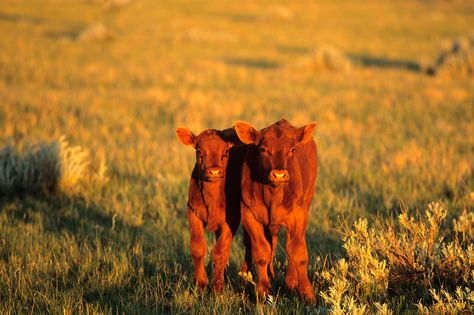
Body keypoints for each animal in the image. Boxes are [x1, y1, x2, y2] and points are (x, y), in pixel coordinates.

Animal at [177, 127, 252, 292]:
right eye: (199, 151)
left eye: (226, 151)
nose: (215, 171)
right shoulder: (192, 211)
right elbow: (198, 247)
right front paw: (202, 284)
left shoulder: (232, 217)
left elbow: (219, 251)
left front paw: (218, 287)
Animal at [234, 119, 318, 304]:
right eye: (263, 149)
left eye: (292, 149)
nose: (279, 175)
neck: (273, 194)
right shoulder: (249, 215)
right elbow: (261, 251)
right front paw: (263, 290)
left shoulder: (299, 215)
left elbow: (298, 253)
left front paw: (307, 293)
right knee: (254, 244)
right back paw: (246, 276)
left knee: (288, 245)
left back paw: (291, 280)